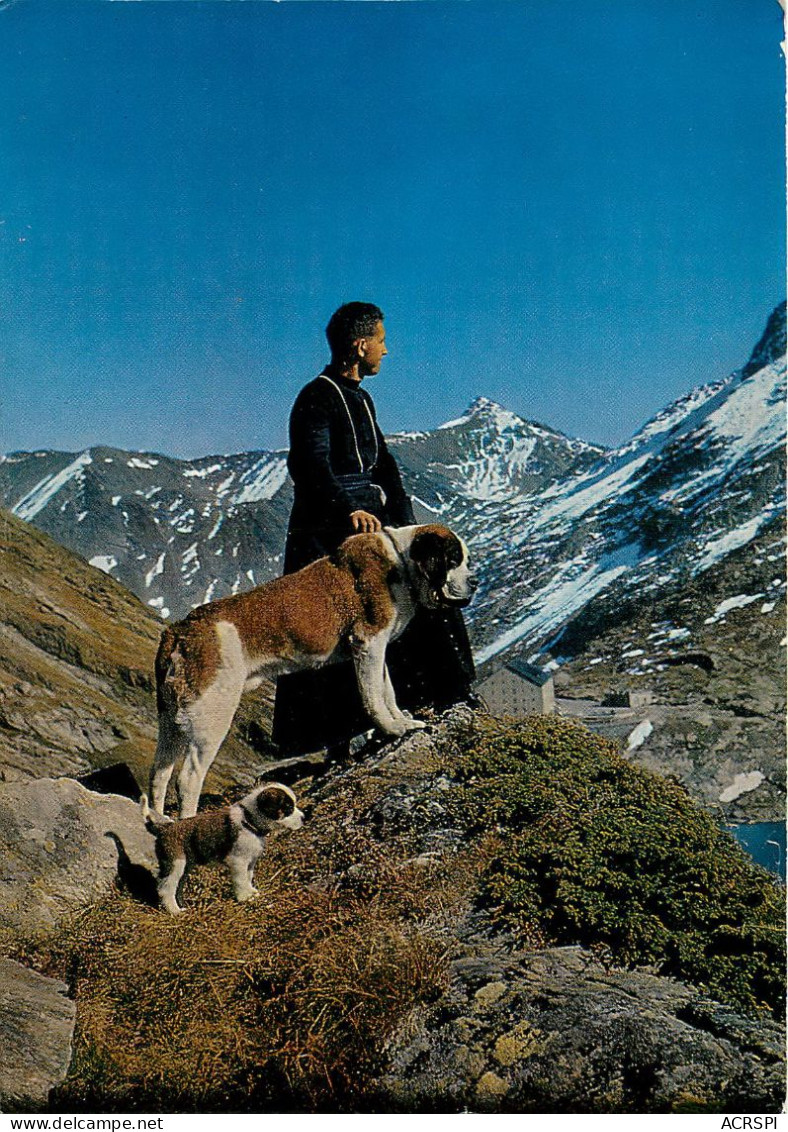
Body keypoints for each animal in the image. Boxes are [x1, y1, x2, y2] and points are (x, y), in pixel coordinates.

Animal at [150, 525, 477, 819]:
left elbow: (387, 691)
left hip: (170, 720)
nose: (474, 581)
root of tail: (180, 630)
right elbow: (374, 697)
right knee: (188, 778)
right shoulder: (368, 643)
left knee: (159, 774)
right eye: (453, 558)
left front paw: (403, 721)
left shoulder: (378, 651)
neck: (400, 561)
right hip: (212, 713)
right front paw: (394, 730)